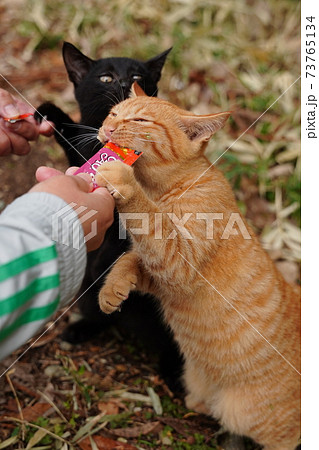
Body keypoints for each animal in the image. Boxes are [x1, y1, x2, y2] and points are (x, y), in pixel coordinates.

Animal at [35, 43, 182, 394]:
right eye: (106, 77)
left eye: (138, 77)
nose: (125, 85)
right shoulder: (82, 152)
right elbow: (75, 137)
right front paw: (48, 113)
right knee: (101, 311)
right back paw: (82, 328)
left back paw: (173, 374)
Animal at [96, 82, 302, 448]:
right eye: (113, 112)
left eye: (139, 119)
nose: (107, 128)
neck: (162, 191)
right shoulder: (164, 275)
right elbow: (131, 257)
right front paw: (113, 289)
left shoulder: (178, 262)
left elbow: (148, 224)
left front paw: (121, 178)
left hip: (248, 416)